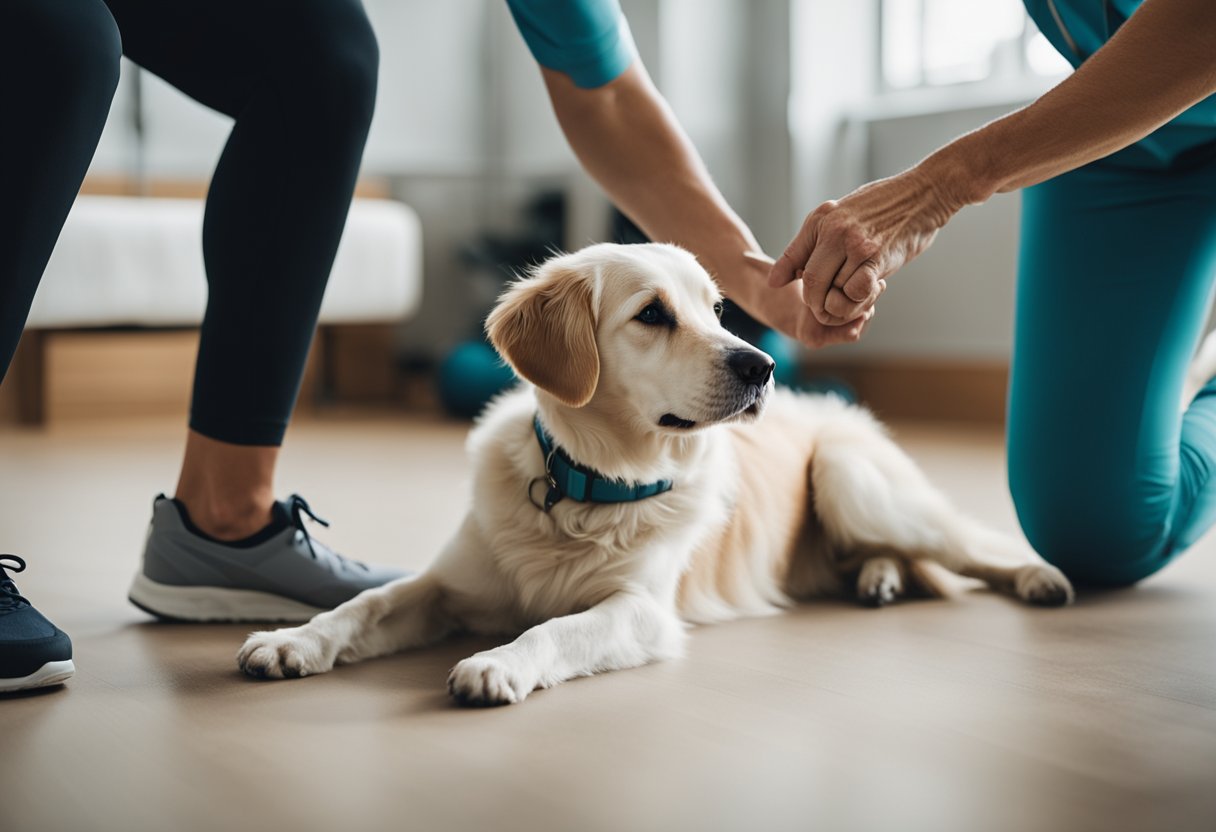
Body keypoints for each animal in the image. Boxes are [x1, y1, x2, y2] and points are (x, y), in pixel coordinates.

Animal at [237, 238, 1074, 700]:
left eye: (717, 310)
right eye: (652, 315)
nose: (763, 366)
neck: (584, 487)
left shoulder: (639, 610)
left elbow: (554, 630)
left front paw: (498, 664)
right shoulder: (448, 584)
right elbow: (365, 605)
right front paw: (293, 640)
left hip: (853, 481)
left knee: (973, 547)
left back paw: (1038, 577)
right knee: (899, 557)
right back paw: (879, 580)